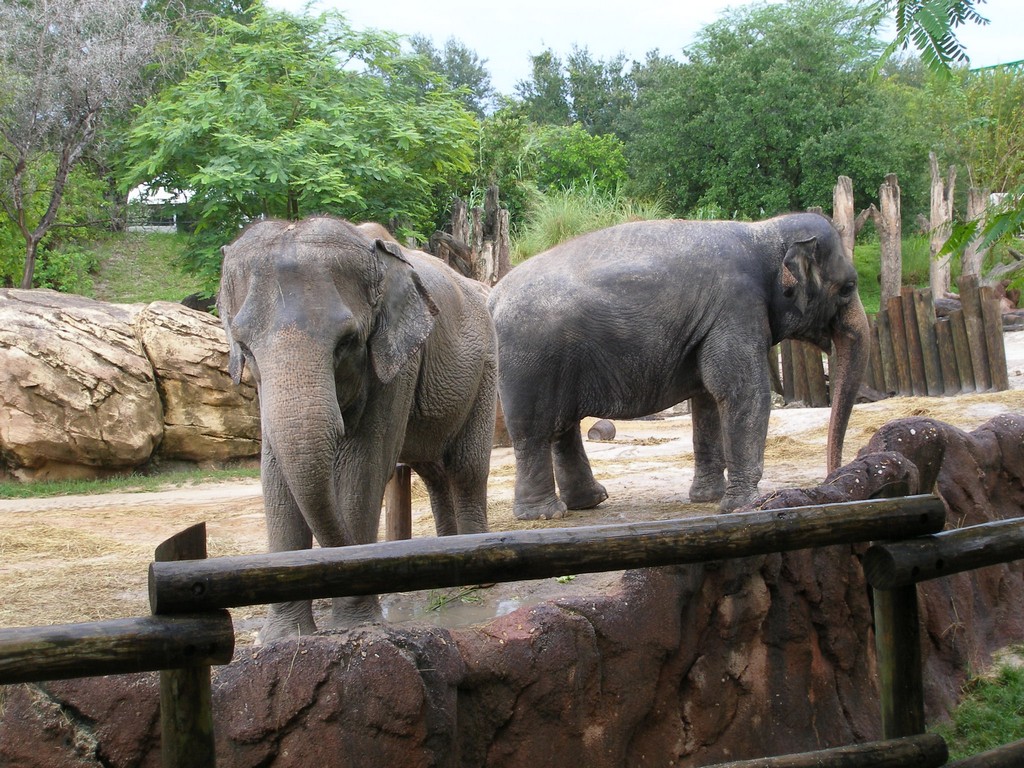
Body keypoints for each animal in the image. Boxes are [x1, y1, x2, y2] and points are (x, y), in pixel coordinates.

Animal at [219, 216, 497, 642]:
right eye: (244, 348)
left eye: (347, 342)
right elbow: (274, 474)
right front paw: (284, 638)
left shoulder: (398, 363)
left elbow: (362, 466)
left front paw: (356, 622)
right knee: (434, 471)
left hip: (485, 366)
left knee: (465, 467)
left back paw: (475, 581)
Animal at [487, 212, 869, 519]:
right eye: (848, 287)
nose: (831, 477)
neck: (762, 231)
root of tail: (493, 295)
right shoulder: (737, 306)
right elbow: (742, 391)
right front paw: (743, 505)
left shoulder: (714, 322)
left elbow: (708, 398)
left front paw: (707, 497)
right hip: (530, 358)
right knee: (535, 431)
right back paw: (545, 515)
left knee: (562, 427)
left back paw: (589, 502)